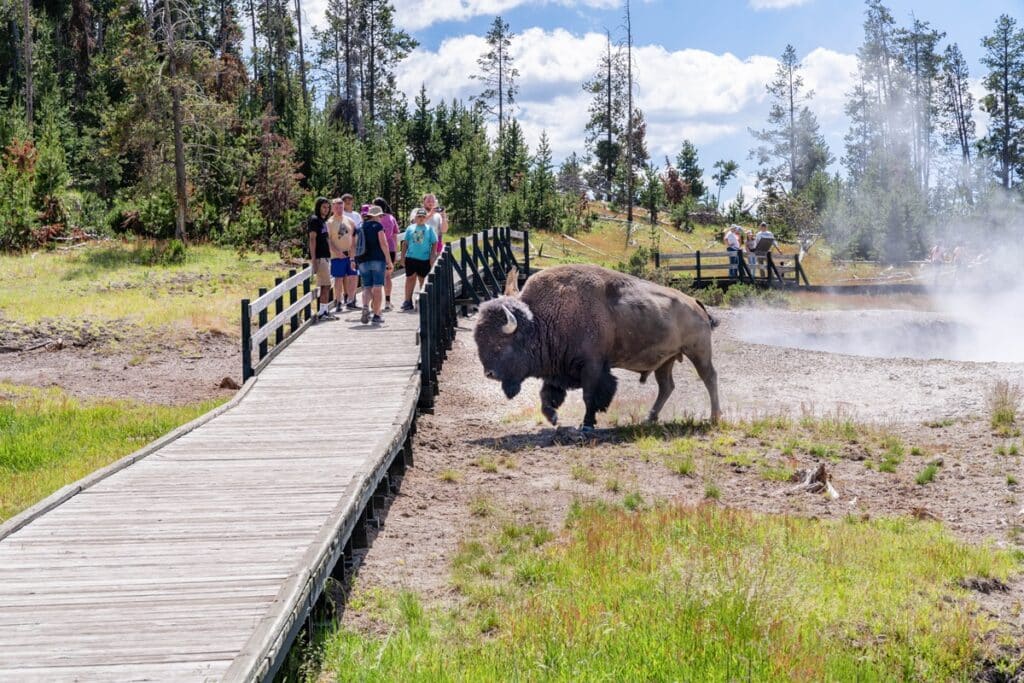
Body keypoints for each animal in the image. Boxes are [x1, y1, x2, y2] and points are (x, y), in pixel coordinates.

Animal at [473, 264, 720, 430]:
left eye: (500, 343)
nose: (489, 373)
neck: (540, 320)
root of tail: (696, 303)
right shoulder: (556, 370)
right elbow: (547, 396)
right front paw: (554, 419)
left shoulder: (592, 366)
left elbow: (590, 395)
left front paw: (587, 424)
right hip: (666, 361)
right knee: (666, 386)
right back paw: (649, 418)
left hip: (698, 352)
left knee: (709, 378)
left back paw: (714, 417)